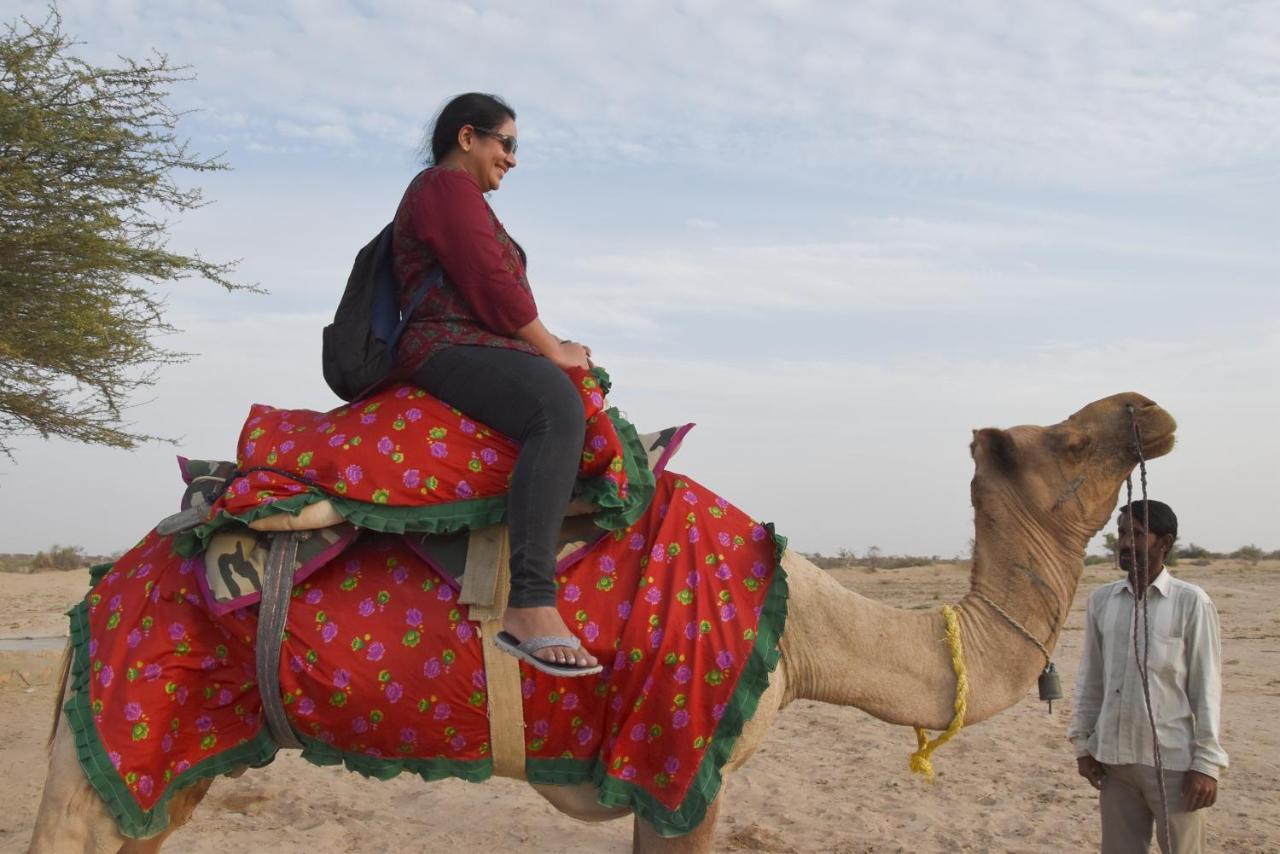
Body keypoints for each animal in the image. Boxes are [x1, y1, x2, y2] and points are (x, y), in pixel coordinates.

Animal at [30, 391, 1172, 850]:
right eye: (1069, 440)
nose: (1148, 409)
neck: (805, 629)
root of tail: (106, 583)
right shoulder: (680, 759)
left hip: (178, 756)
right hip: (123, 718)